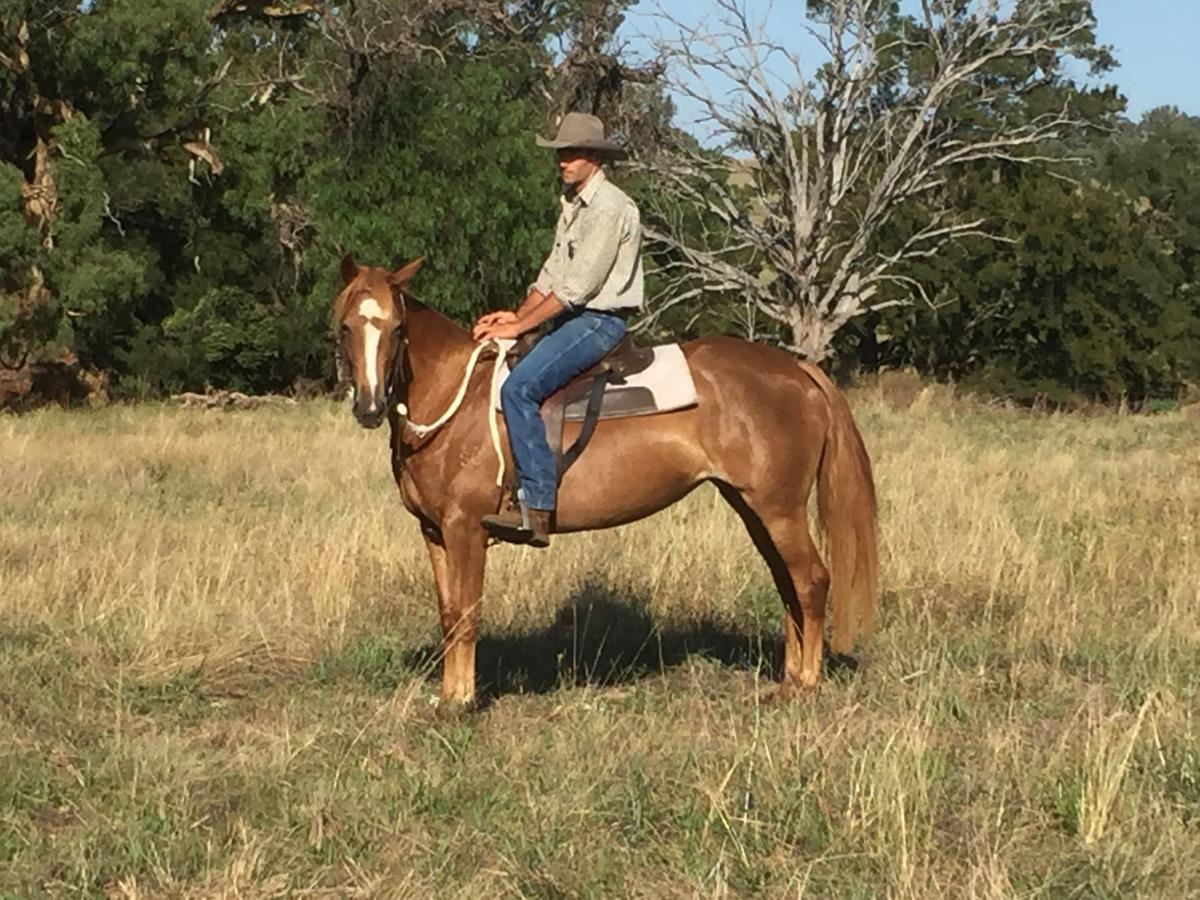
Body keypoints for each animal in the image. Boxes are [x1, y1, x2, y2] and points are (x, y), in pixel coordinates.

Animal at [334, 254, 879, 706]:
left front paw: (462, 703)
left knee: (811, 580)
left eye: (397, 328)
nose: (370, 406)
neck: (455, 398)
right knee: (788, 583)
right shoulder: (434, 533)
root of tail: (799, 370)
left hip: (778, 509)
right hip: (752, 507)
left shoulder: (465, 529)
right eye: (344, 327)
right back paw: (786, 681)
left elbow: (467, 616)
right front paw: (449, 697)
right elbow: (449, 614)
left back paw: (806, 686)